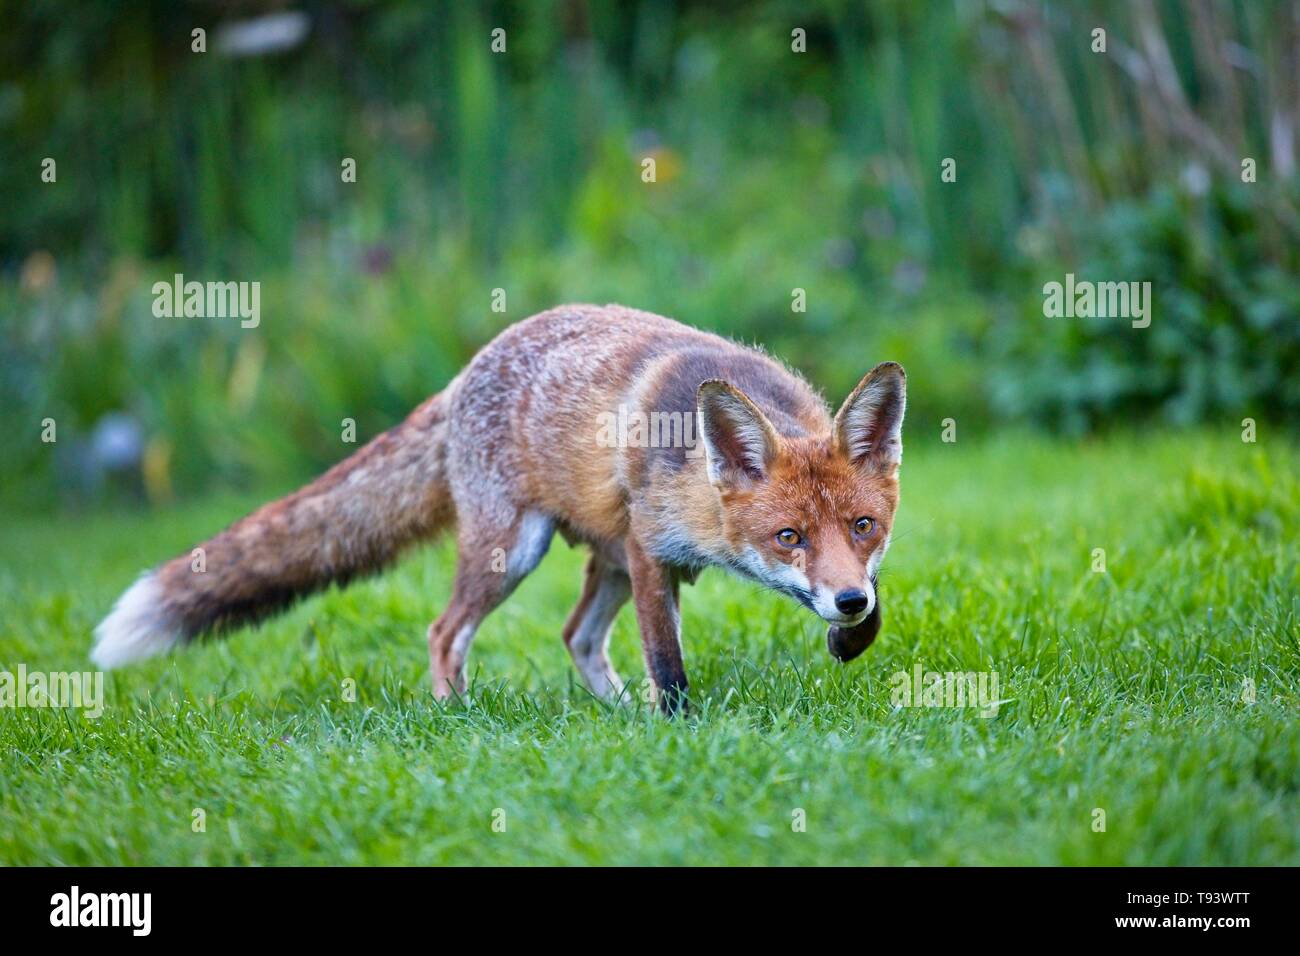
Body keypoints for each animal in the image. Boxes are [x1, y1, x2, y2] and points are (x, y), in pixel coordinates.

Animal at [94, 303, 904, 712]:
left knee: (576, 637)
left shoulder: (651, 557)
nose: (847, 601)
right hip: (514, 551)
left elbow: (873, 612)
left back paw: (617, 711)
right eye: (789, 536)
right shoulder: (651, 550)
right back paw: (456, 713)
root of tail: (465, 370)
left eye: (863, 526)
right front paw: (680, 726)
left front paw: (849, 641)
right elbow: (667, 662)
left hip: (599, 559)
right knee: (444, 630)